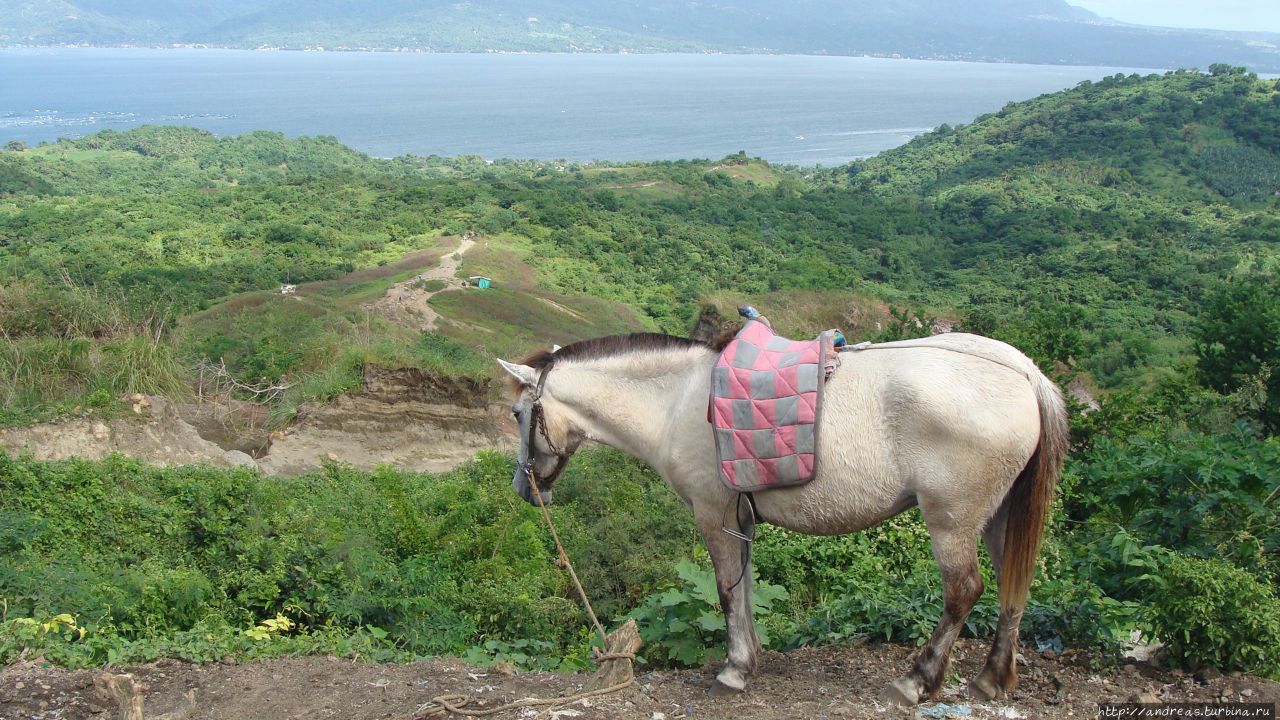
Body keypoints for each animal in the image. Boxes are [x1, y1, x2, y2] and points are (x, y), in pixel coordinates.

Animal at [499, 330, 1070, 702]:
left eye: (518, 413)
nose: (525, 489)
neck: (677, 401)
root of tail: (1024, 374)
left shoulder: (713, 514)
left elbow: (727, 590)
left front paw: (734, 669)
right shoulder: (740, 517)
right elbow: (746, 587)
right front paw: (749, 656)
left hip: (952, 520)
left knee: (963, 592)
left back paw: (918, 680)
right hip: (997, 519)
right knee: (1012, 587)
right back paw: (993, 678)